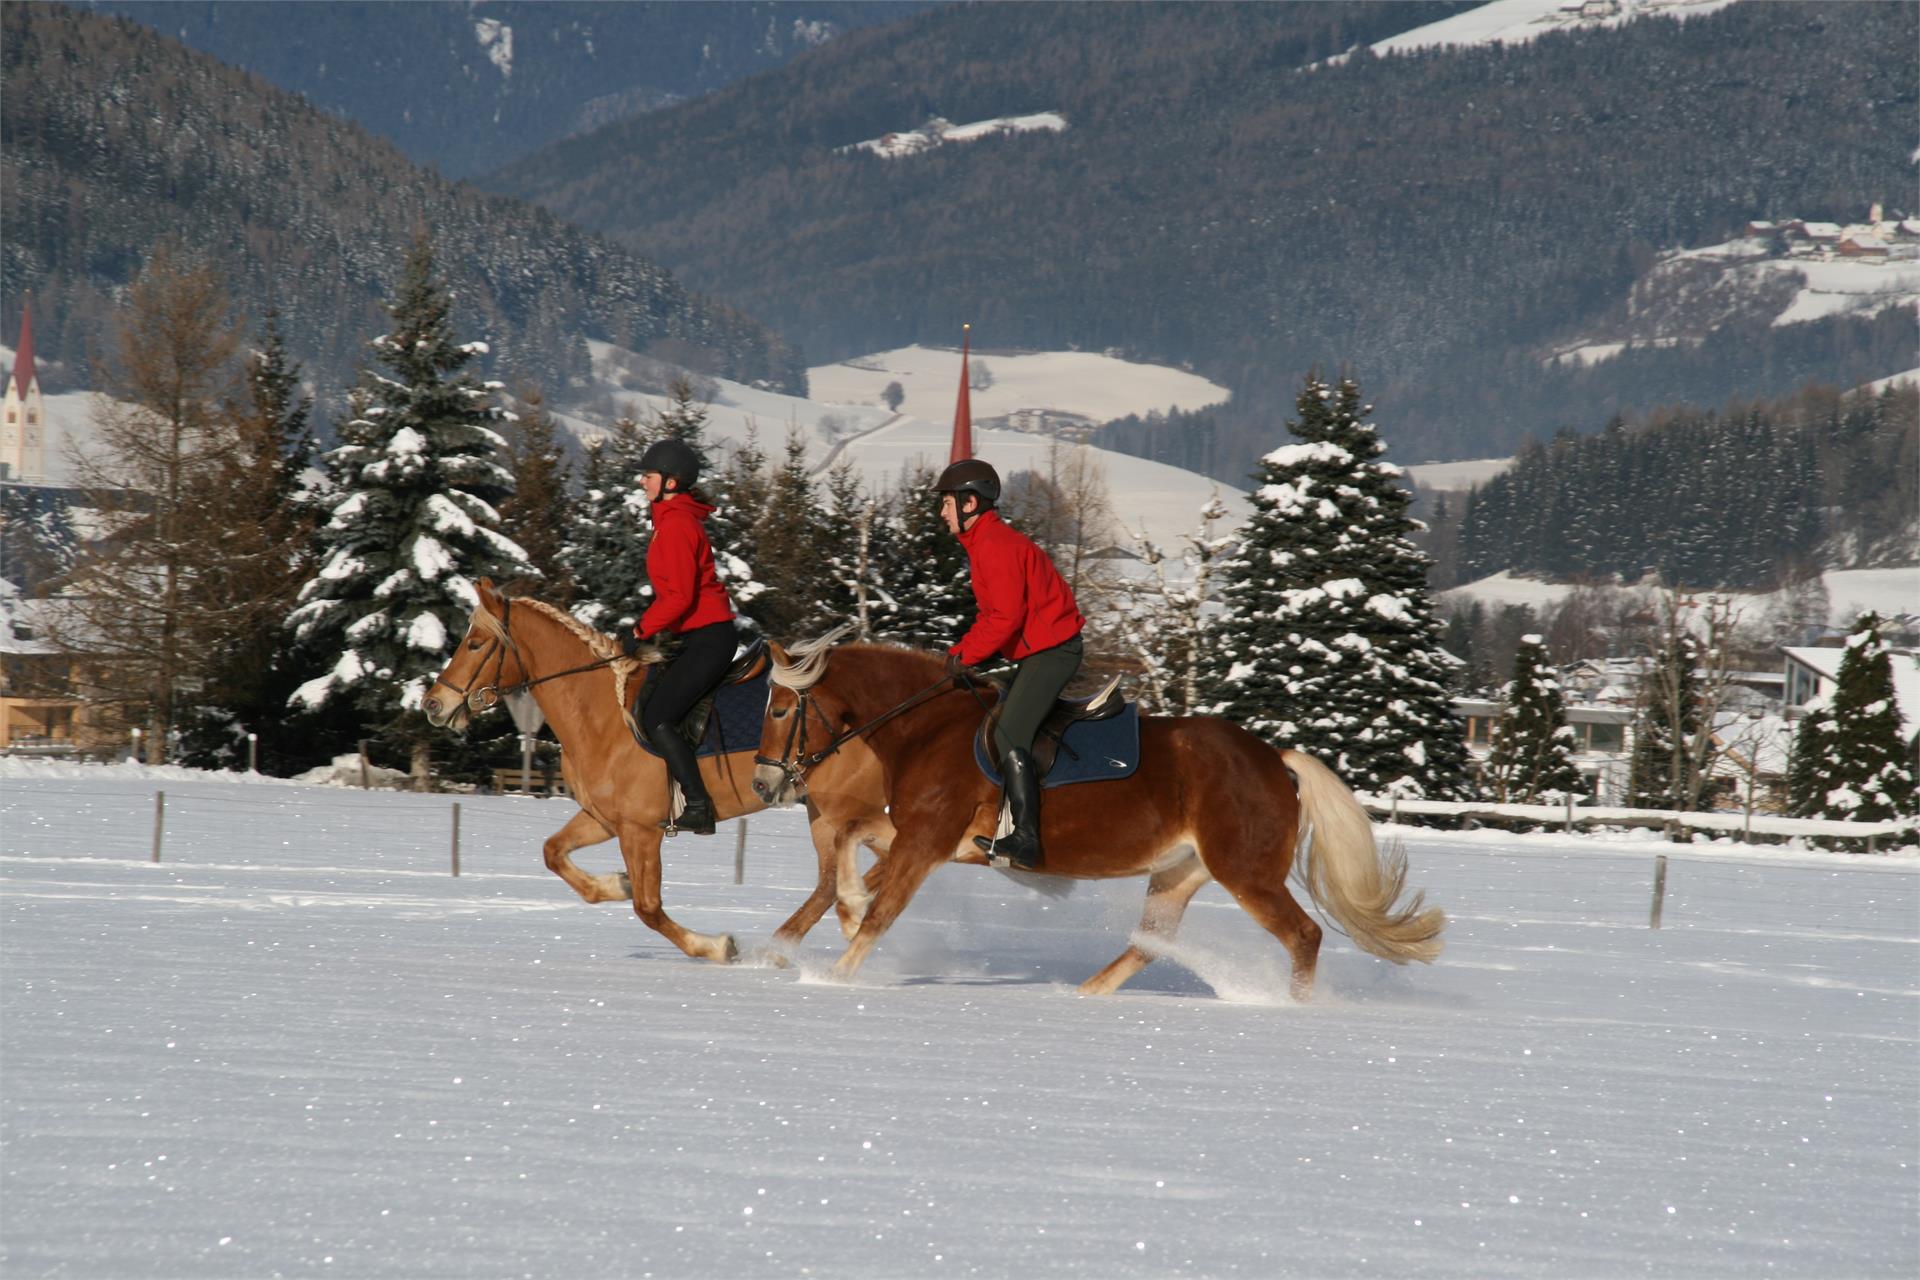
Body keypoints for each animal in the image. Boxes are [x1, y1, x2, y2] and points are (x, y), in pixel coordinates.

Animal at [424, 579, 894, 959]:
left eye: (475, 643)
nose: (434, 704)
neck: (601, 713)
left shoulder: (640, 831)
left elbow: (648, 909)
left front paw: (715, 947)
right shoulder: (605, 819)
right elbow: (553, 852)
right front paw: (615, 883)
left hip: (841, 809)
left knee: (850, 872)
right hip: (828, 812)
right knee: (838, 878)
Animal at [748, 637, 1443, 997]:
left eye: (780, 709)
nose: (763, 782)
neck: (927, 726)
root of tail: (1275, 759)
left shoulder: (928, 840)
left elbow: (881, 909)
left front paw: (835, 975)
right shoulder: (929, 836)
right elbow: (851, 842)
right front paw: (844, 906)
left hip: (1248, 874)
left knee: (1303, 937)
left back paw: (1295, 1008)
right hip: (1179, 871)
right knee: (1150, 942)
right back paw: (1084, 996)